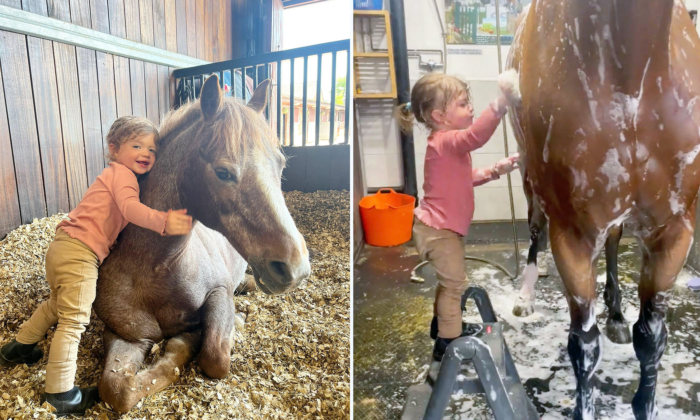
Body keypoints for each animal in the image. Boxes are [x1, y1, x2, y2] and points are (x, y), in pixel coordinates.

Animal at [93, 74, 312, 412]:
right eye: (223, 172)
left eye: (280, 165)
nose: (295, 267)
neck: (157, 268)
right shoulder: (125, 335)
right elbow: (118, 389)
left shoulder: (219, 293)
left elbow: (214, 357)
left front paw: (194, 340)